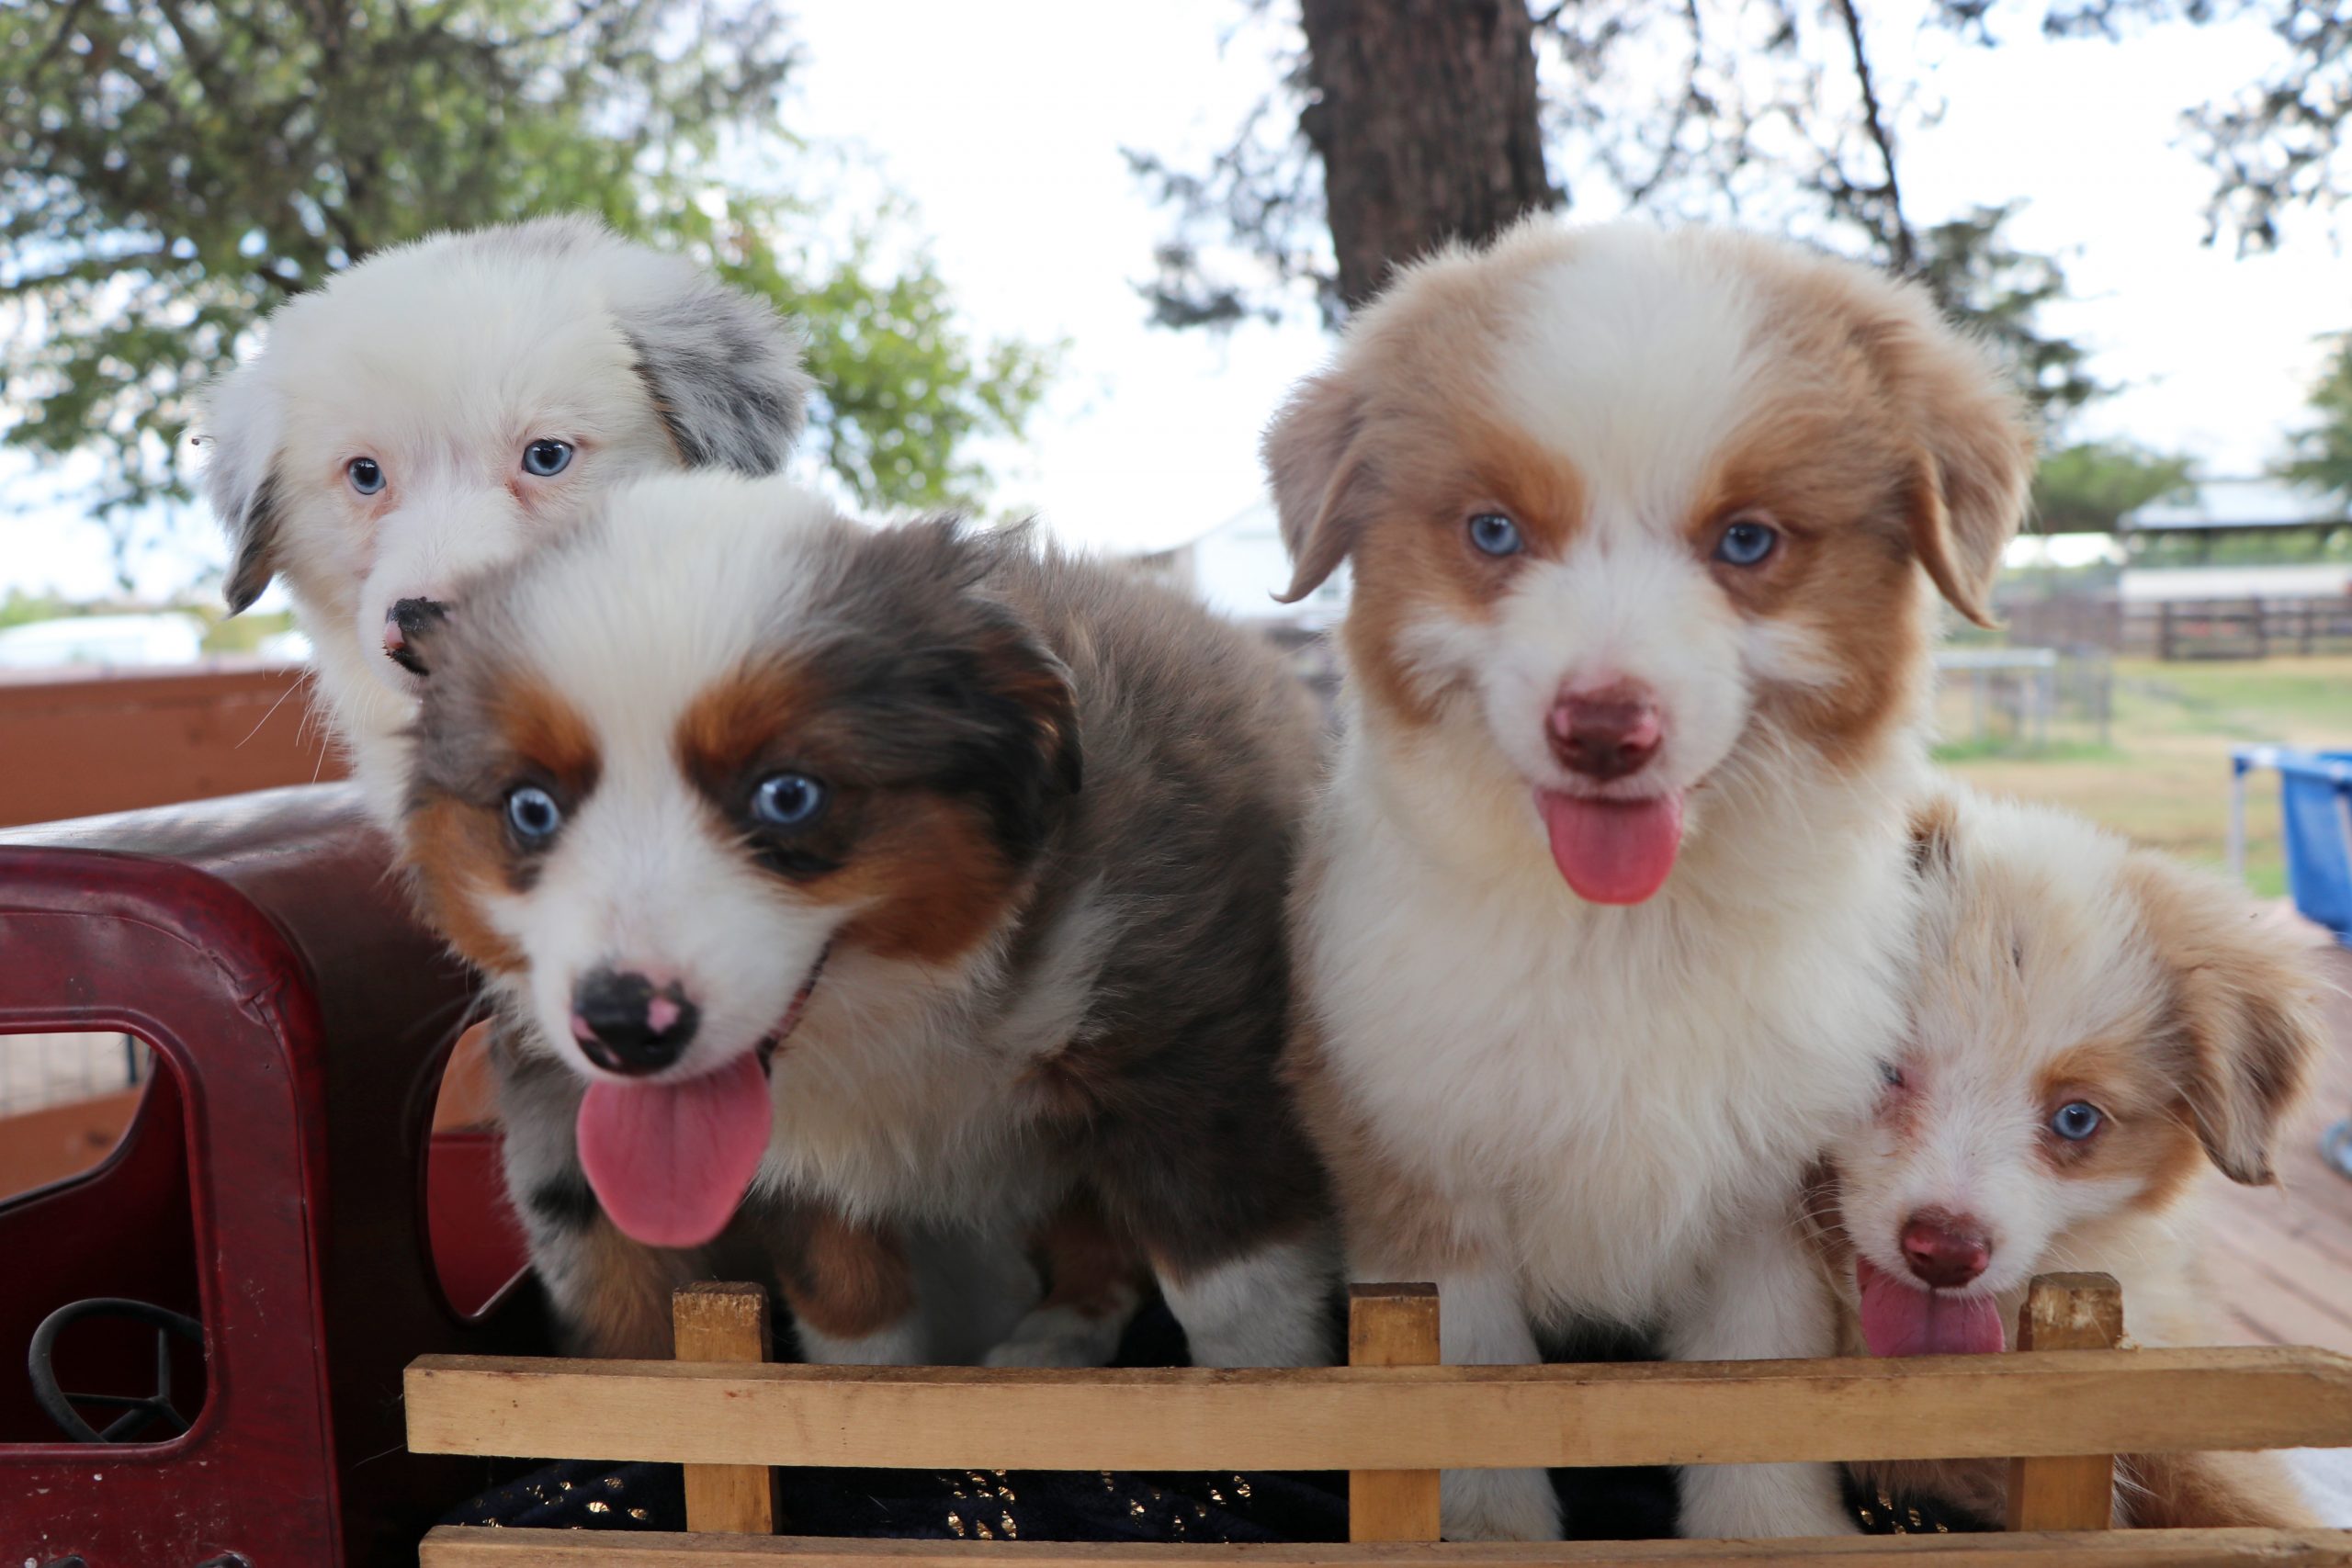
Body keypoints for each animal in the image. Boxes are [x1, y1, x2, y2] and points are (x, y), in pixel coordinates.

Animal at [395, 479, 1336, 1372]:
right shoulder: (795, 1175)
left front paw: (1263, 1404)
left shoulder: (1195, 1066)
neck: (894, 999)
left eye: (788, 795)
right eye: (530, 809)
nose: (624, 1029)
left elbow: (1238, 1307)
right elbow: (854, 1322)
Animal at [1279, 215, 2031, 1541]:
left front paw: (1770, 1532)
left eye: (1746, 541)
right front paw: (1485, 1534)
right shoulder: (1419, 1170)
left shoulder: (1776, 1188)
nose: (1602, 727)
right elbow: (1463, 1398)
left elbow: (1759, 1387)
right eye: (1492, 533)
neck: (1625, 934)